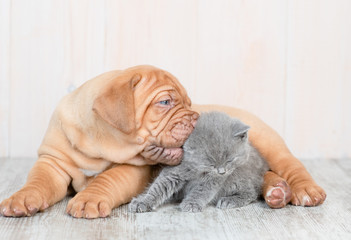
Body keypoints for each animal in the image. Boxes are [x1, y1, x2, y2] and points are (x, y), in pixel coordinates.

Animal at [129, 111, 270, 213]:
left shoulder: (213, 180)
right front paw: (143, 201)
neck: (197, 170)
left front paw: (191, 204)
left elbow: (202, 191)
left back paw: (229, 200)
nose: (222, 172)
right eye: (211, 161)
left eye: (230, 160)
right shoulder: (175, 170)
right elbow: (159, 187)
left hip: (241, 177)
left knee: (252, 192)